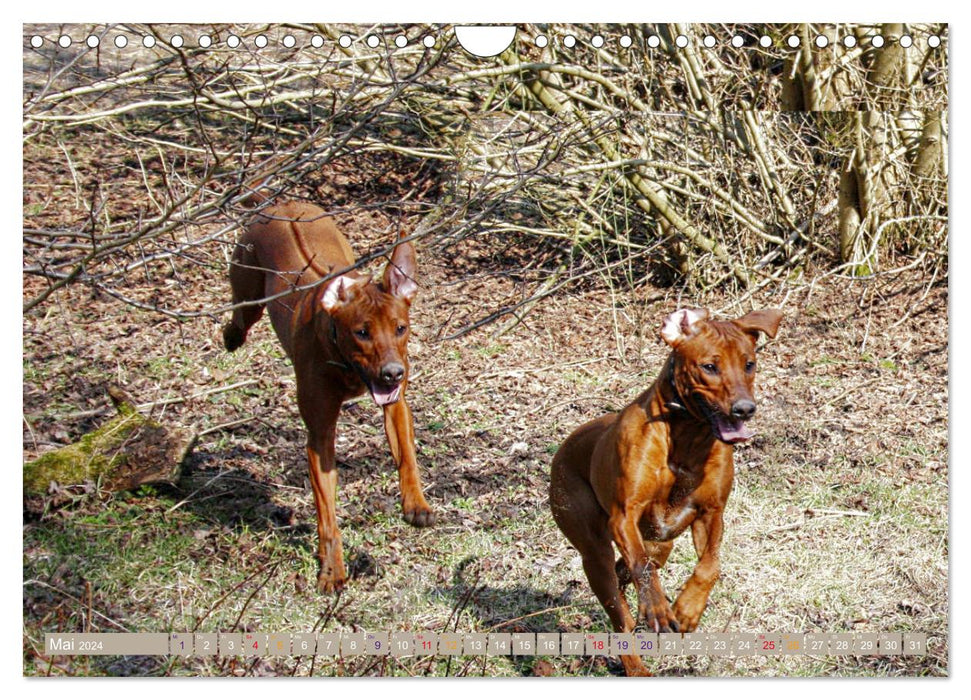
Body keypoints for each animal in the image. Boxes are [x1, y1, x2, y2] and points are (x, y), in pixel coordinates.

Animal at [224, 200, 436, 592]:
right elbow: (327, 514)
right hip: (248, 291)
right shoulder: (319, 436)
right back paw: (231, 336)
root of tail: (282, 203)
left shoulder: (396, 404)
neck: (346, 365)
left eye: (401, 328)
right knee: (239, 316)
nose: (392, 373)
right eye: (362, 332)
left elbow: (407, 457)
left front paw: (416, 505)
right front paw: (332, 568)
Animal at [556, 308, 784, 676]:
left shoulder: (711, 512)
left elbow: (710, 566)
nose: (745, 409)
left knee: (631, 568)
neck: (689, 437)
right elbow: (643, 569)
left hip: (660, 541)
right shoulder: (625, 515)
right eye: (709, 366)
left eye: (749, 364)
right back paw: (636, 661)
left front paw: (688, 608)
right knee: (619, 611)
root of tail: (563, 447)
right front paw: (658, 609)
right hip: (592, 548)